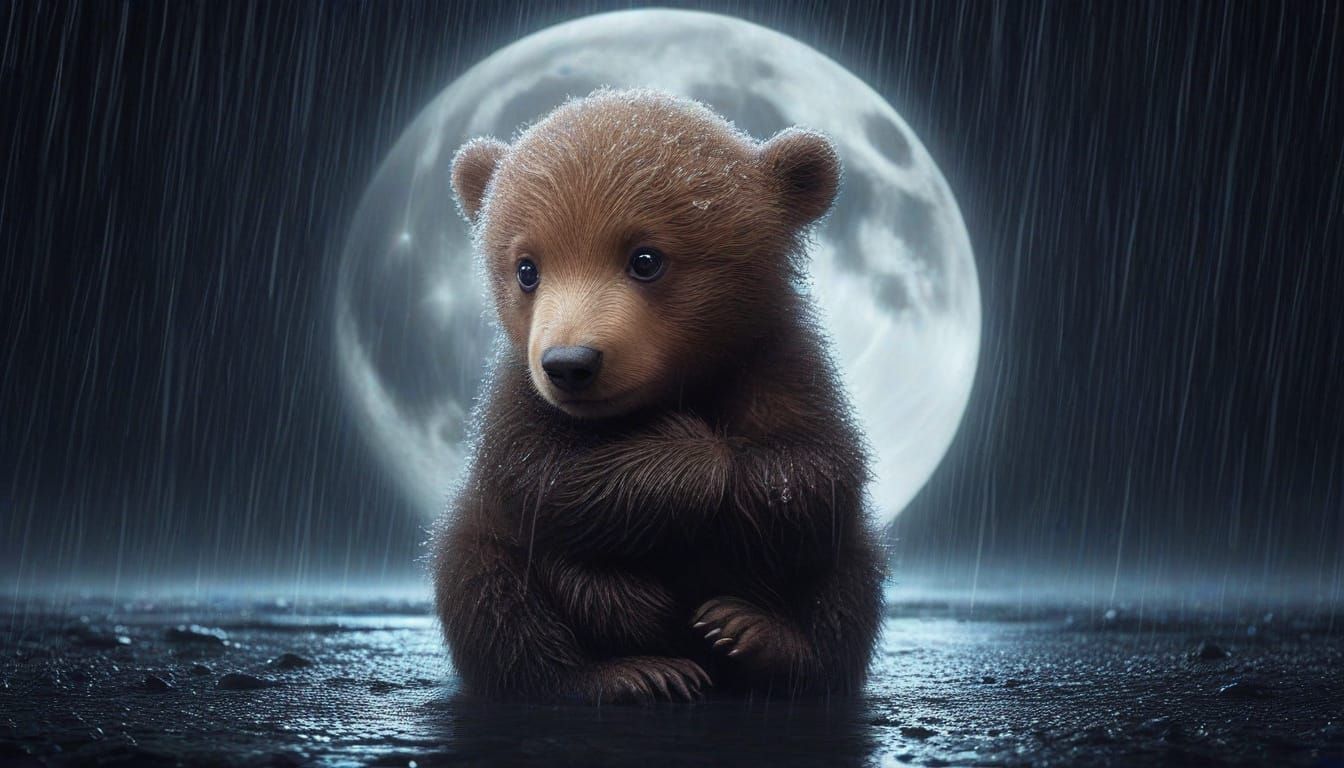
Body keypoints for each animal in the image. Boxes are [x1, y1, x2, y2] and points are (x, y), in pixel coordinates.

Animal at [433, 88, 884, 704]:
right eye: (526, 269)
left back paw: (757, 635)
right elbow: (540, 474)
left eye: (645, 258)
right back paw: (631, 672)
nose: (570, 364)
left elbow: (815, 471)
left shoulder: (778, 364)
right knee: (489, 590)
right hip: (487, 544)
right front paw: (677, 452)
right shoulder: (517, 391)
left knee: (851, 581)